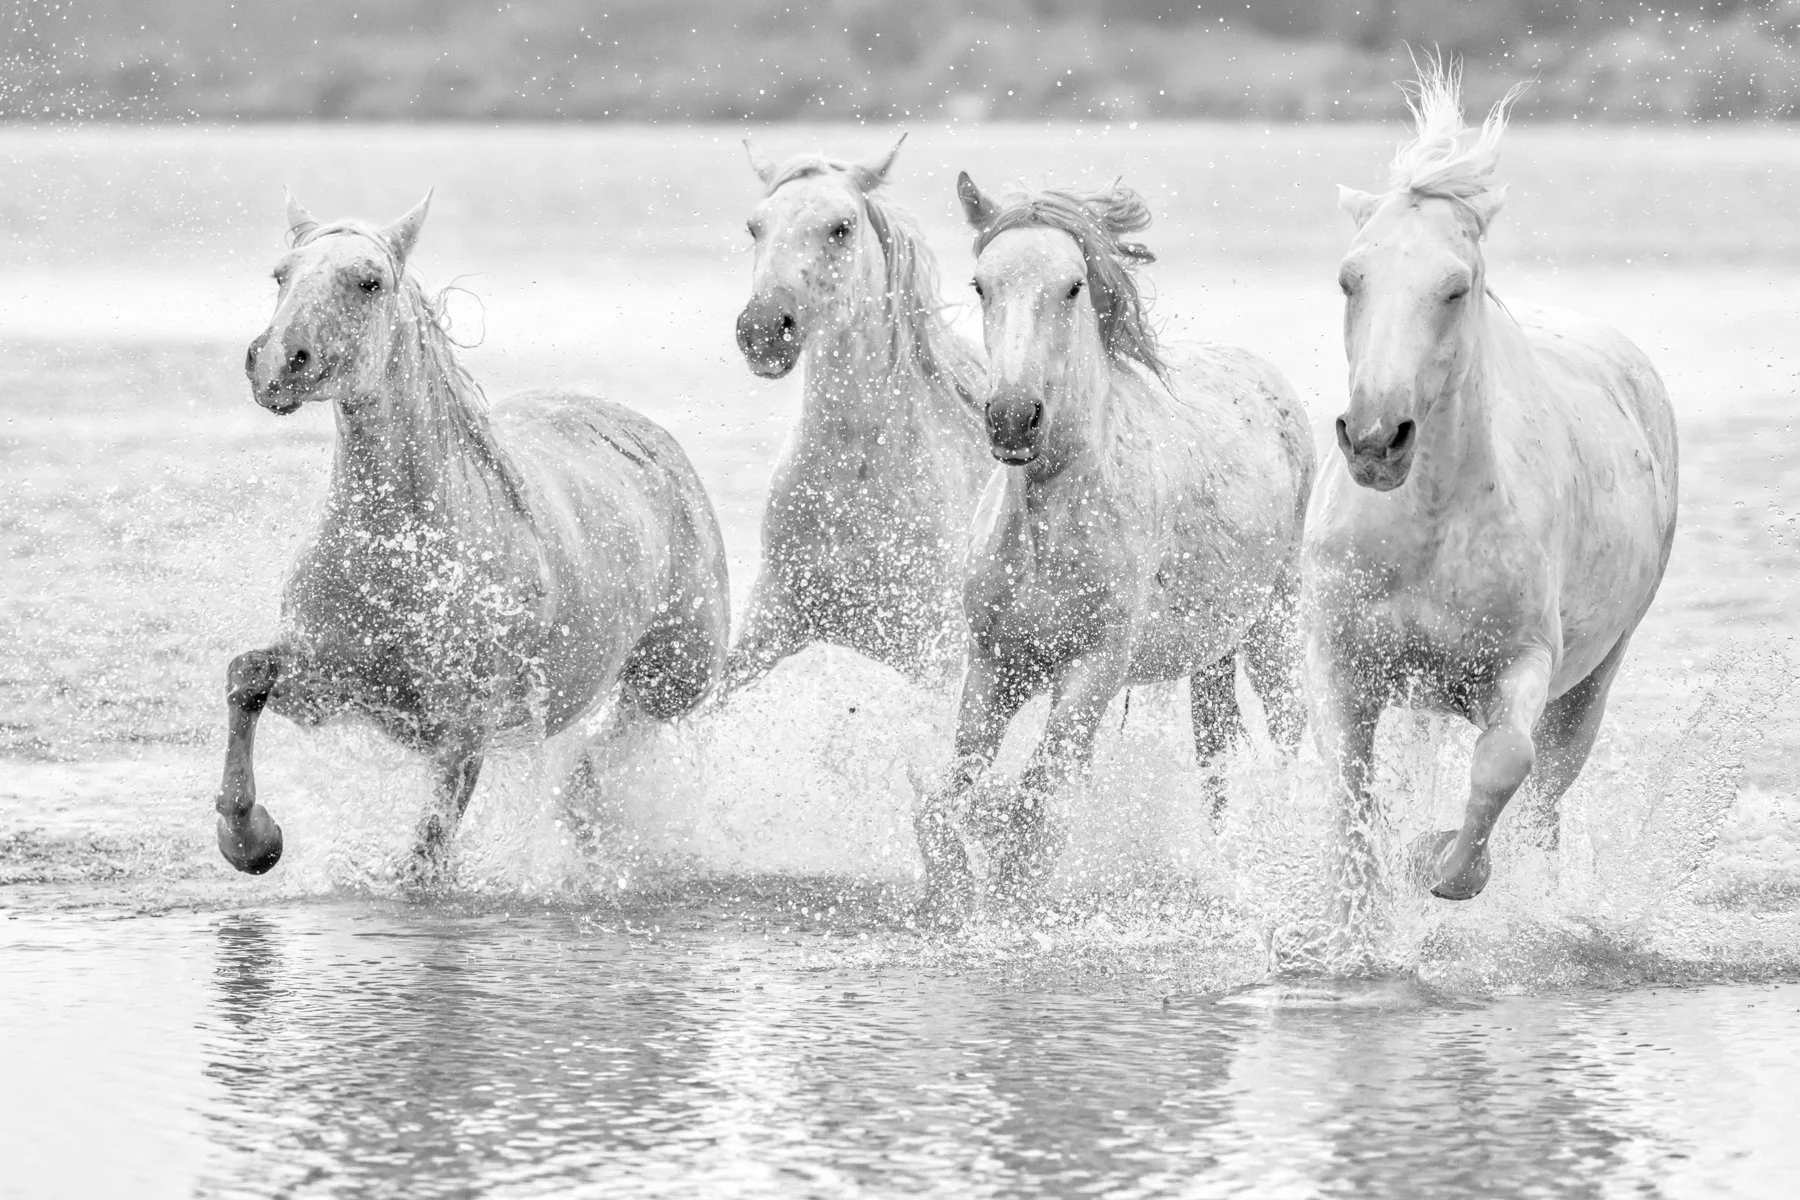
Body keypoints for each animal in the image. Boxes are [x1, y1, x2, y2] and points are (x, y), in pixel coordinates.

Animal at [214, 192, 731, 879]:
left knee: (603, 759)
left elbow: (426, 859)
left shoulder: (461, 731)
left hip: (671, 683)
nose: (277, 365)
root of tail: (652, 439)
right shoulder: (329, 689)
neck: (398, 556)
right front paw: (251, 839)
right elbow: (246, 676)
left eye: (369, 281)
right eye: (281, 275)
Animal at [914, 176, 1316, 924]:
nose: (1012, 418)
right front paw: (953, 892)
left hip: (1273, 626)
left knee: (1287, 736)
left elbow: (1036, 803)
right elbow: (946, 801)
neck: (1047, 531)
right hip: (1210, 656)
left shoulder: (1095, 666)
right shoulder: (996, 665)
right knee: (1214, 760)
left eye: (1073, 286)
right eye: (981, 285)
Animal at [1304, 62, 1678, 913]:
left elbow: (1504, 763)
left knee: (1544, 798)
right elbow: (1350, 788)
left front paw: (1442, 866)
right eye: (1349, 279)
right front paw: (1356, 900)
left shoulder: (1522, 663)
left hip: (1594, 681)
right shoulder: (1345, 662)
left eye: (1455, 287)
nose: (1375, 439)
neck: (1425, 528)